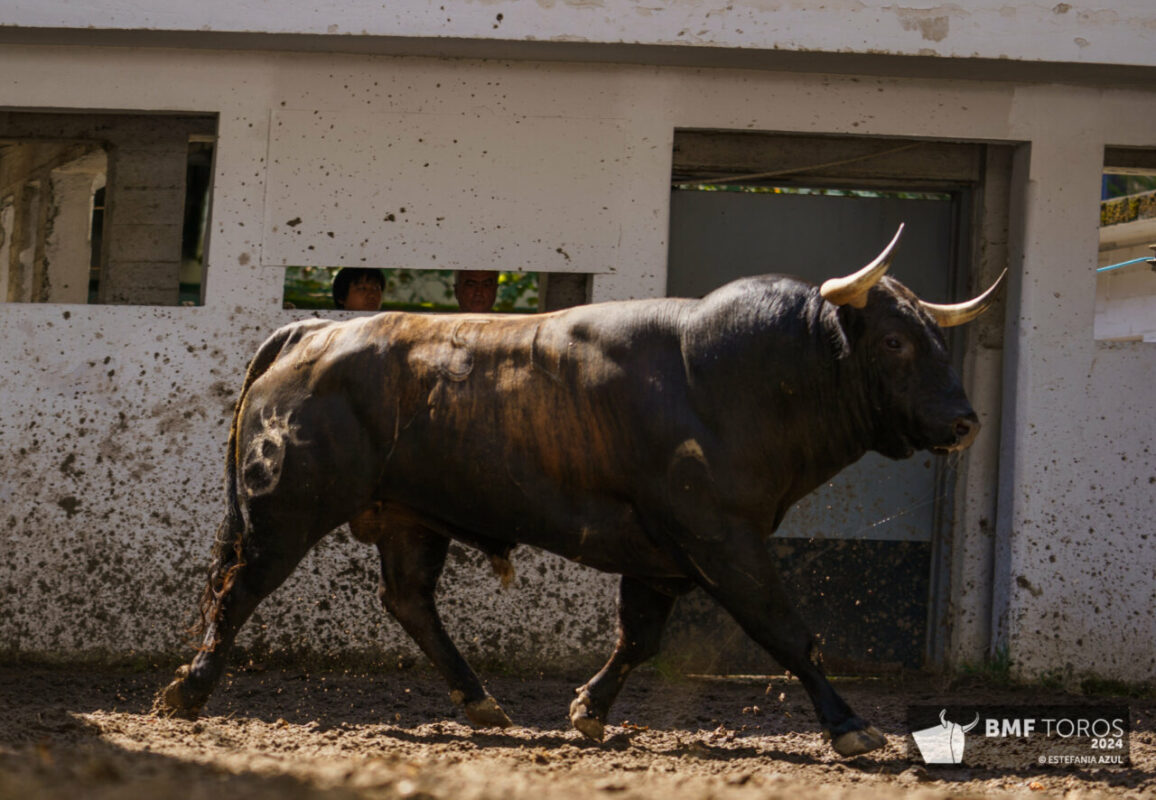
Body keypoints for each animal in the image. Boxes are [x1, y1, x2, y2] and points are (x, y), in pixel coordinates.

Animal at [160, 226, 1003, 758]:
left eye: (938, 337)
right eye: (894, 340)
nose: (965, 422)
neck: (733, 379)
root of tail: (311, 332)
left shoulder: (663, 557)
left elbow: (639, 639)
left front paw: (588, 713)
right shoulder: (725, 539)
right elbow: (786, 632)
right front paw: (850, 725)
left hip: (408, 519)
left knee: (408, 601)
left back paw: (480, 701)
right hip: (286, 512)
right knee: (240, 589)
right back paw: (188, 692)